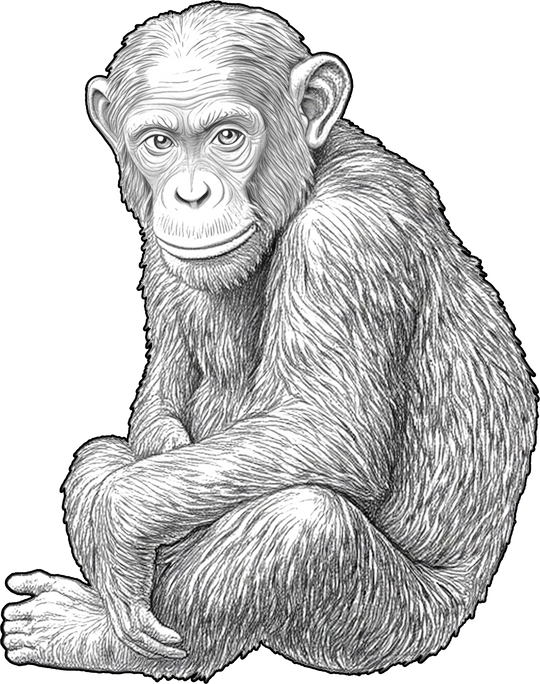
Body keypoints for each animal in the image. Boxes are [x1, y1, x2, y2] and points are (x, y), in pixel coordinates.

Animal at [4, 4, 535, 679]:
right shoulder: (160, 252)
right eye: (159, 143)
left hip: (391, 627)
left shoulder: (347, 238)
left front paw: (118, 523)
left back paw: (90, 634)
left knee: (303, 525)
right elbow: (162, 394)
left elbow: (328, 427)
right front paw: (148, 475)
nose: (191, 193)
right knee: (99, 453)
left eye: (228, 136)